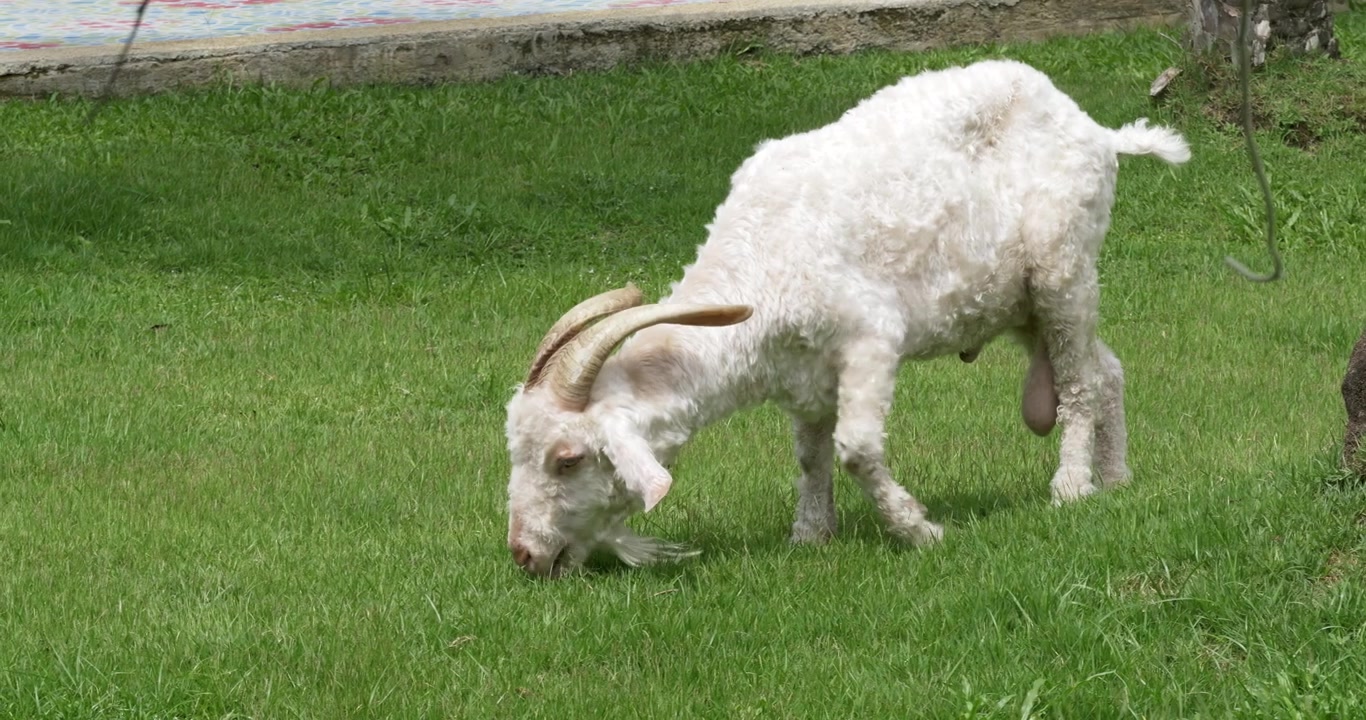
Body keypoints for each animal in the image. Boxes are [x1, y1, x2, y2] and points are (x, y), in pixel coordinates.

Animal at [503, 59, 1190, 578]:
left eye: (568, 459)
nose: (524, 554)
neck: (761, 259)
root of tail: (1096, 129)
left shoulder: (870, 338)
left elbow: (856, 447)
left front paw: (919, 530)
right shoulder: (802, 376)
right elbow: (811, 456)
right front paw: (810, 535)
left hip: (1061, 267)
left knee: (1077, 382)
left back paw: (1071, 487)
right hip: (1019, 302)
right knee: (1105, 368)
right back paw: (1116, 477)